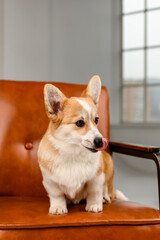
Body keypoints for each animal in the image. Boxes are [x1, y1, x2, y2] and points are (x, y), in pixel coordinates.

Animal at [37, 75, 127, 216]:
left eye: (96, 120)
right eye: (79, 123)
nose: (100, 141)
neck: (73, 153)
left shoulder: (96, 178)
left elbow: (94, 192)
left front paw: (94, 205)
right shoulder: (50, 182)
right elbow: (56, 195)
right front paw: (58, 207)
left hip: (108, 164)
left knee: (108, 191)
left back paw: (105, 198)